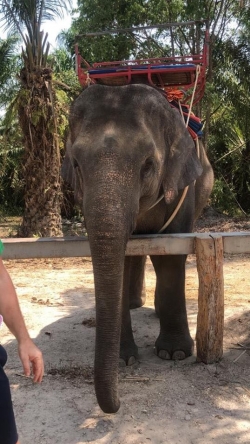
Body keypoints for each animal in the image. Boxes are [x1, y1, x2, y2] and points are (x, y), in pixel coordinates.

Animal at [61, 82, 214, 412]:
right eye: (76, 164)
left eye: (148, 165)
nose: (116, 405)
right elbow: (121, 255)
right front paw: (124, 360)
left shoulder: (182, 189)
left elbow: (170, 258)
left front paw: (175, 354)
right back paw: (133, 303)